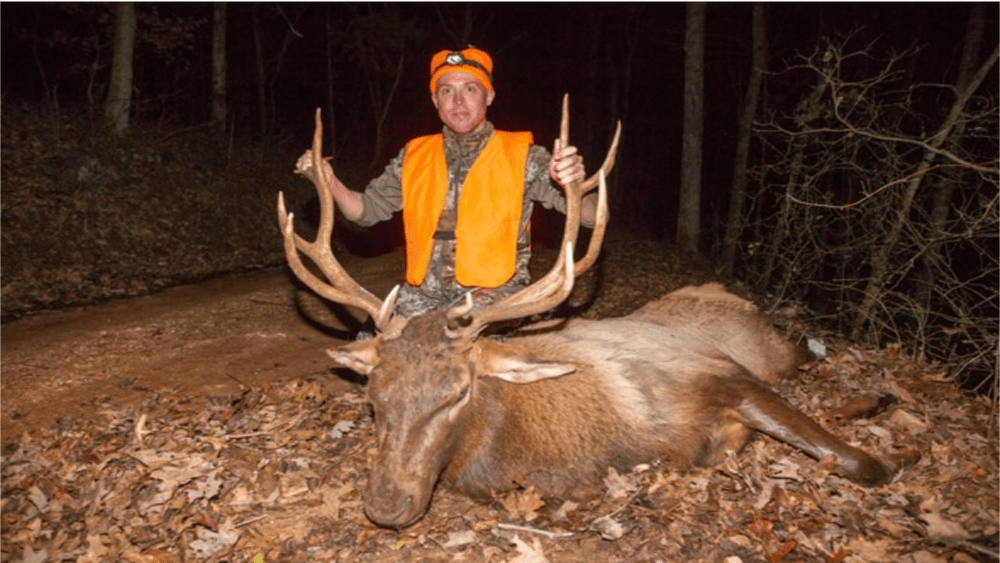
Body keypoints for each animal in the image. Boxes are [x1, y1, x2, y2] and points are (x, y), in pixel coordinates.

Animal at [277, 99, 919, 530]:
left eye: (457, 391)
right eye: (373, 396)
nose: (386, 505)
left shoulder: (717, 373)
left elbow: (856, 461)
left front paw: (901, 461)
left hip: (767, 348)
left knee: (805, 361)